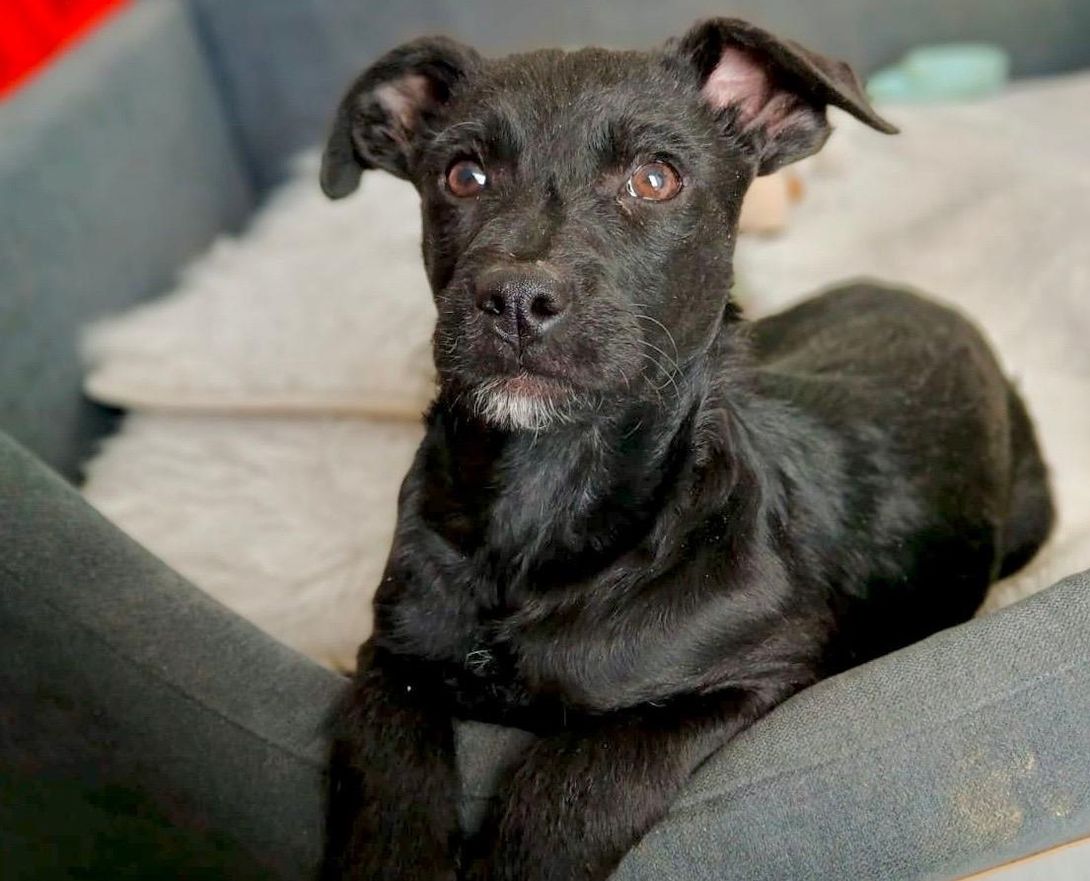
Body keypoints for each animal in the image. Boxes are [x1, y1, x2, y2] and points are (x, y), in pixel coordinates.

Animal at [317, 18, 1053, 881]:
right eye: (463, 175)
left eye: (656, 178)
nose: (515, 300)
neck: (542, 498)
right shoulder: (390, 656)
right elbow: (388, 783)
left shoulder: (754, 674)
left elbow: (573, 783)